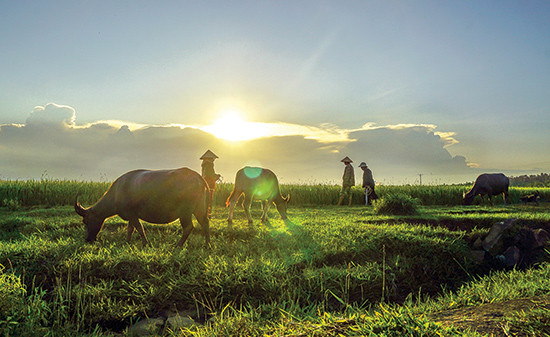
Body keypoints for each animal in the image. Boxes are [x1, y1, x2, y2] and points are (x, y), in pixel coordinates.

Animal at [74, 166, 210, 247]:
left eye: (85, 221)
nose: (88, 239)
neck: (117, 192)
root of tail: (198, 177)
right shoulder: (131, 216)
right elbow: (130, 229)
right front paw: (127, 242)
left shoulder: (132, 215)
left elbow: (139, 228)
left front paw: (145, 243)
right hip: (199, 209)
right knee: (205, 223)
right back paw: (207, 245)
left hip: (185, 211)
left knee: (188, 227)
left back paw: (177, 245)